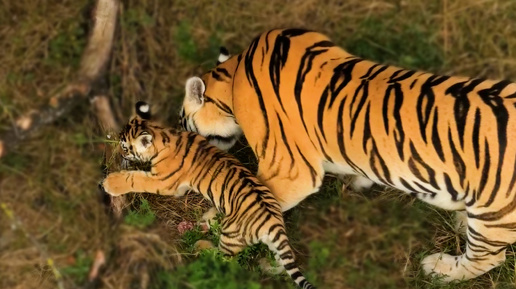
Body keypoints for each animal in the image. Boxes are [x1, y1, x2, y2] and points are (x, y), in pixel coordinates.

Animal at [99, 101, 312, 288]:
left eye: (124, 147)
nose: (118, 153)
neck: (164, 134)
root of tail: (274, 222)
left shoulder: (162, 181)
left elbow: (135, 179)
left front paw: (110, 182)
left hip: (231, 236)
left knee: (224, 259)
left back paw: (201, 244)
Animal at [179, 28, 516, 280]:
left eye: (183, 120)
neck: (233, 77)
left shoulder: (290, 171)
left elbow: (248, 206)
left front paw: (212, 226)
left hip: (495, 216)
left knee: (488, 258)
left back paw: (440, 268)